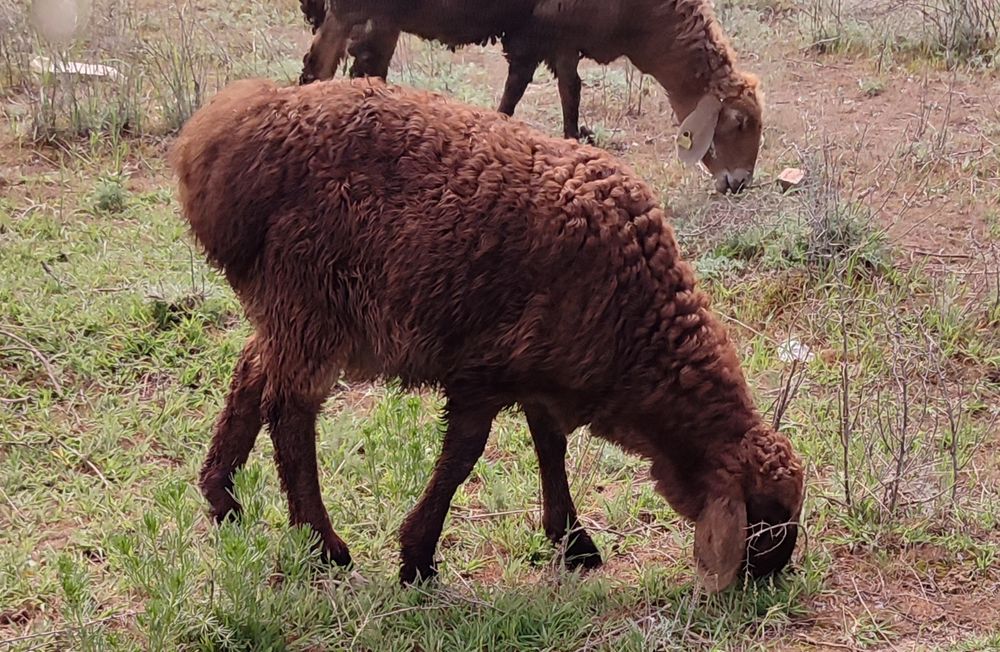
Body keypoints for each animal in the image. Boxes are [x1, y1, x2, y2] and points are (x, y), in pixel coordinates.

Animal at [171, 76, 804, 592]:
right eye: (766, 517)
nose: (771, 577)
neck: (640, 328)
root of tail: (219, 141)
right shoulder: (484, 371)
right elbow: (463, 457)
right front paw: (418, 558)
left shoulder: (542, 369)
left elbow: (550, 446)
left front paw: (572, 541)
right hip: (311, 298)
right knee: (290, 414)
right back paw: (323, 545)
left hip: (287, 306)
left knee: (251, 372)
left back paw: (222, 497)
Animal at [298, 0, 764, 194]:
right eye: (739, 122)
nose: (739, 182)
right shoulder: (549, 34)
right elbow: (552, 92)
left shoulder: (556, 42)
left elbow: (545, 92)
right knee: (319, 69)